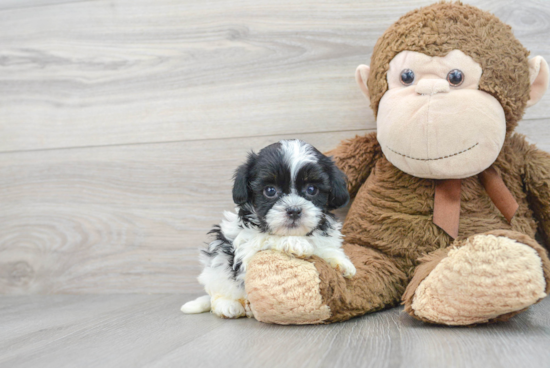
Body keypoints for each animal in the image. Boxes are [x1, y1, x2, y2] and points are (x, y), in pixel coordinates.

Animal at [181, 139, 354, 318]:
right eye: (270, 190)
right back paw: (228, 306)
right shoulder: (246, 249)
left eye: (312, 189)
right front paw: (295, 243)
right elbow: (266, 238)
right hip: (218, 262)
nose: (294, 210)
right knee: (219, 290)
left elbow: (325, 246)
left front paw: (341, 261)